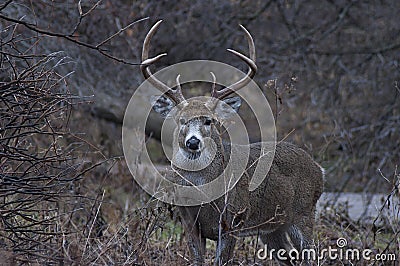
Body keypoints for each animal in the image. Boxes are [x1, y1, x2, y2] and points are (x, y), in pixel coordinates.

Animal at [141, 19, 324, 264]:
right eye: (181, 120)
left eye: (209, 120)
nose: (192, 142)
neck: (203, 194)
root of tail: (318, 168)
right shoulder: (188, 222)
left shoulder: (233, 221)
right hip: (273, 228)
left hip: (304, 213)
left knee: (310, 255)